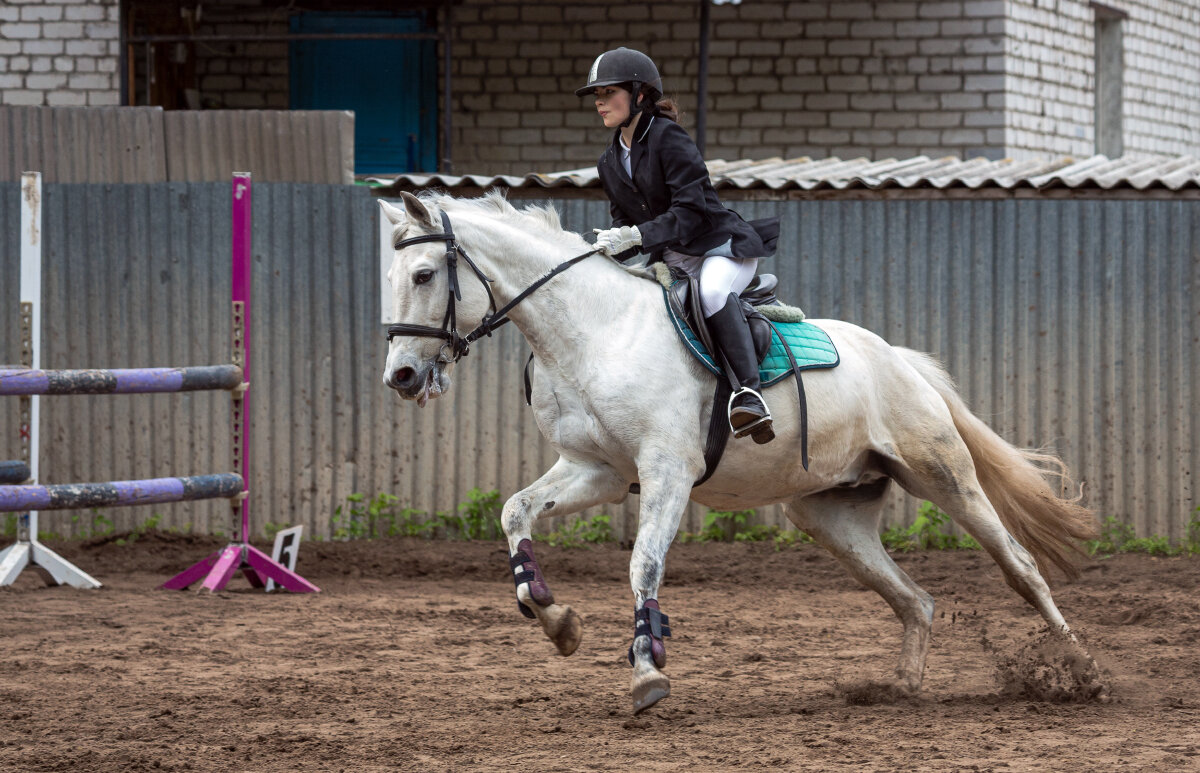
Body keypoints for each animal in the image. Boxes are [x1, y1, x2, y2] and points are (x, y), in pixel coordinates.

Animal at [379, 192, 1099, 710]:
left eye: (424, 273)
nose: (402, 377)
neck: (594, 330)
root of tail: (898, 358)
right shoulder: (597, 471)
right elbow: (515, 512)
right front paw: (555, 618)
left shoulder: (667, 471)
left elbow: (644, 565)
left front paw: (646, 672)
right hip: (829, 514)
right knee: (913, 599)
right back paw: (900, 688)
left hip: (941, 475)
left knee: (1021, 567)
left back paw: (1082, 671)